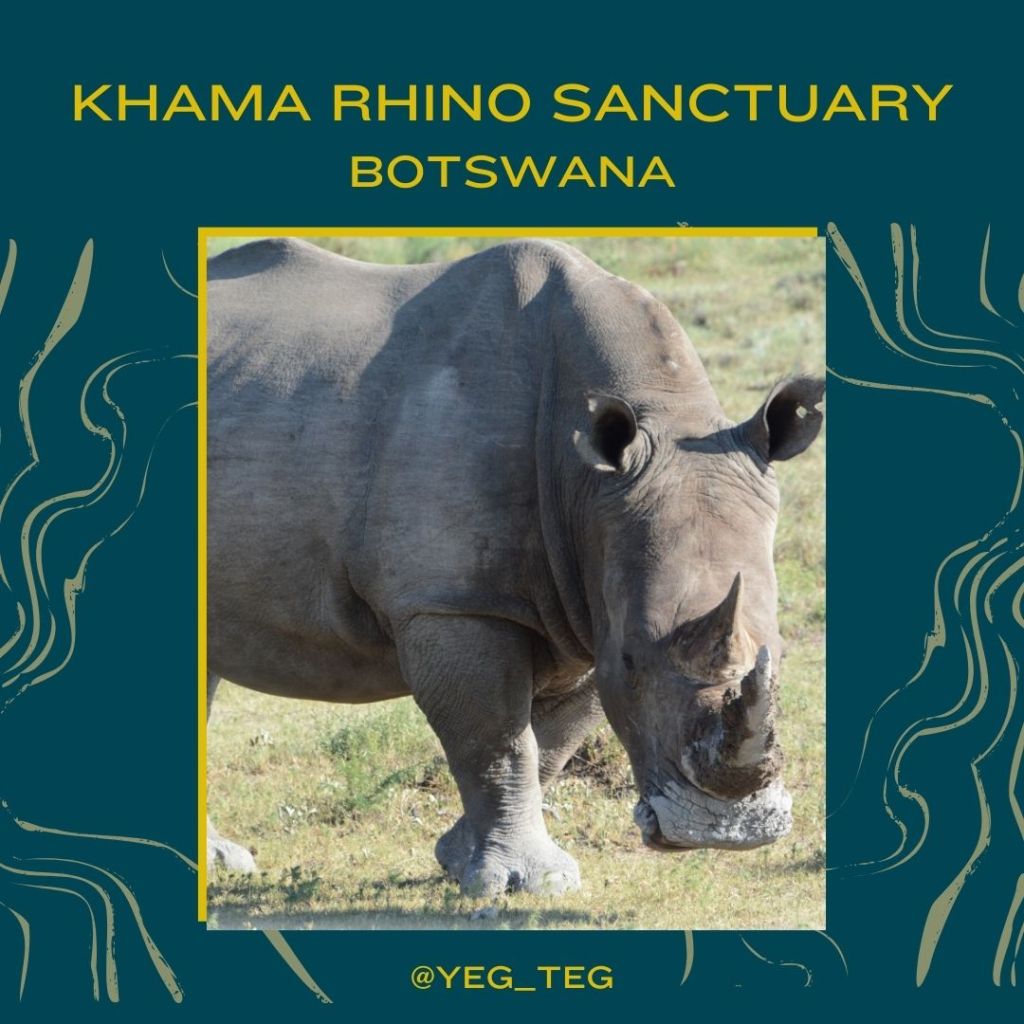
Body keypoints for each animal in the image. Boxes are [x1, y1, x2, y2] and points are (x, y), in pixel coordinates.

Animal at [206, 237, 823, 897]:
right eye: (634, 660)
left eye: (783, 654)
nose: (726, 832)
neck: (588, 477)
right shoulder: (453, 601)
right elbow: (498, 739)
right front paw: (527, 880)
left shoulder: (588, 596)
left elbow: (553, 737)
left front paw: (461, 858)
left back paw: (222, 861)